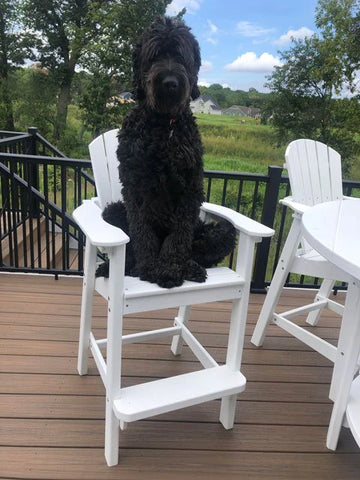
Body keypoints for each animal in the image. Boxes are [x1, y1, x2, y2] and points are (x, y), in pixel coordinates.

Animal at [97, 16, 235, 288]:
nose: (170, 83)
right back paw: (122, 266)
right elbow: (142, 232)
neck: (163, 127)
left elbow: (179, 235)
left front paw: (170, 267)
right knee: (128, 244)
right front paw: (150, 265)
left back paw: (190, 267)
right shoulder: (135, 188)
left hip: (220, 231)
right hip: (113, 210)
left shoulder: (190, 188)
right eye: (155, 55)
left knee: (199, 250)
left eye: (181, 56)